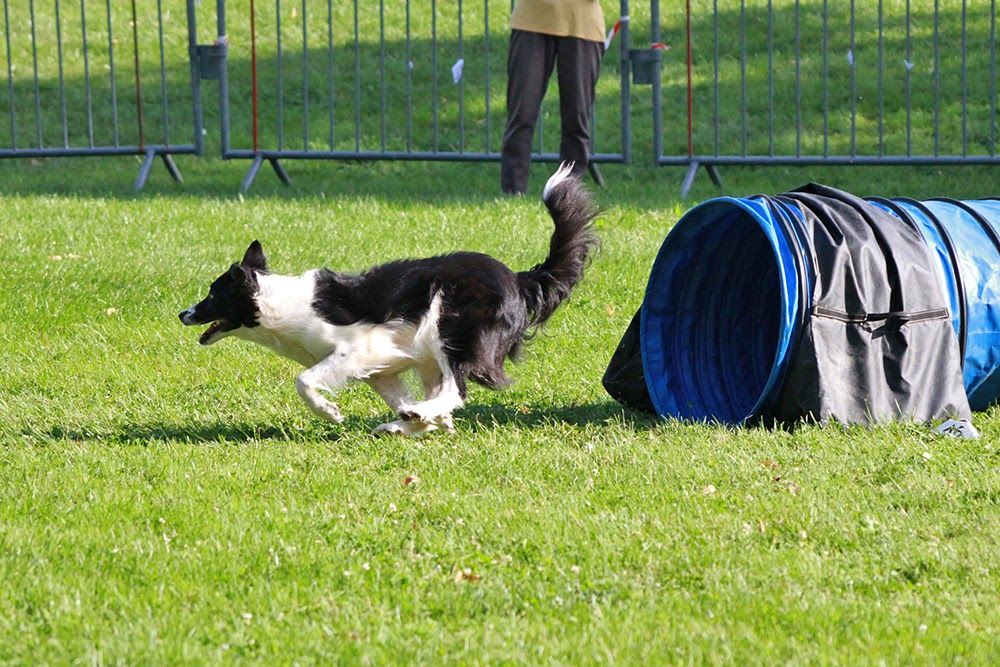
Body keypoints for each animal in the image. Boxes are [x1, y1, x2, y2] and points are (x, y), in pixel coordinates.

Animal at [179, 164, 596, 436]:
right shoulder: (382, 368)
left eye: (213, 294)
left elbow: (304, 380)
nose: (183, 313)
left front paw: (330, 413)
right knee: (441, 392)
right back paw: (408, 422)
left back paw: (417, 416)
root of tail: (518, 277)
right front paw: (422, 422)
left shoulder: (355, 349)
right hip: (430, 351)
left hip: (448, 327)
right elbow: (396, 396)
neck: (279, 304)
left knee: (456, 389)